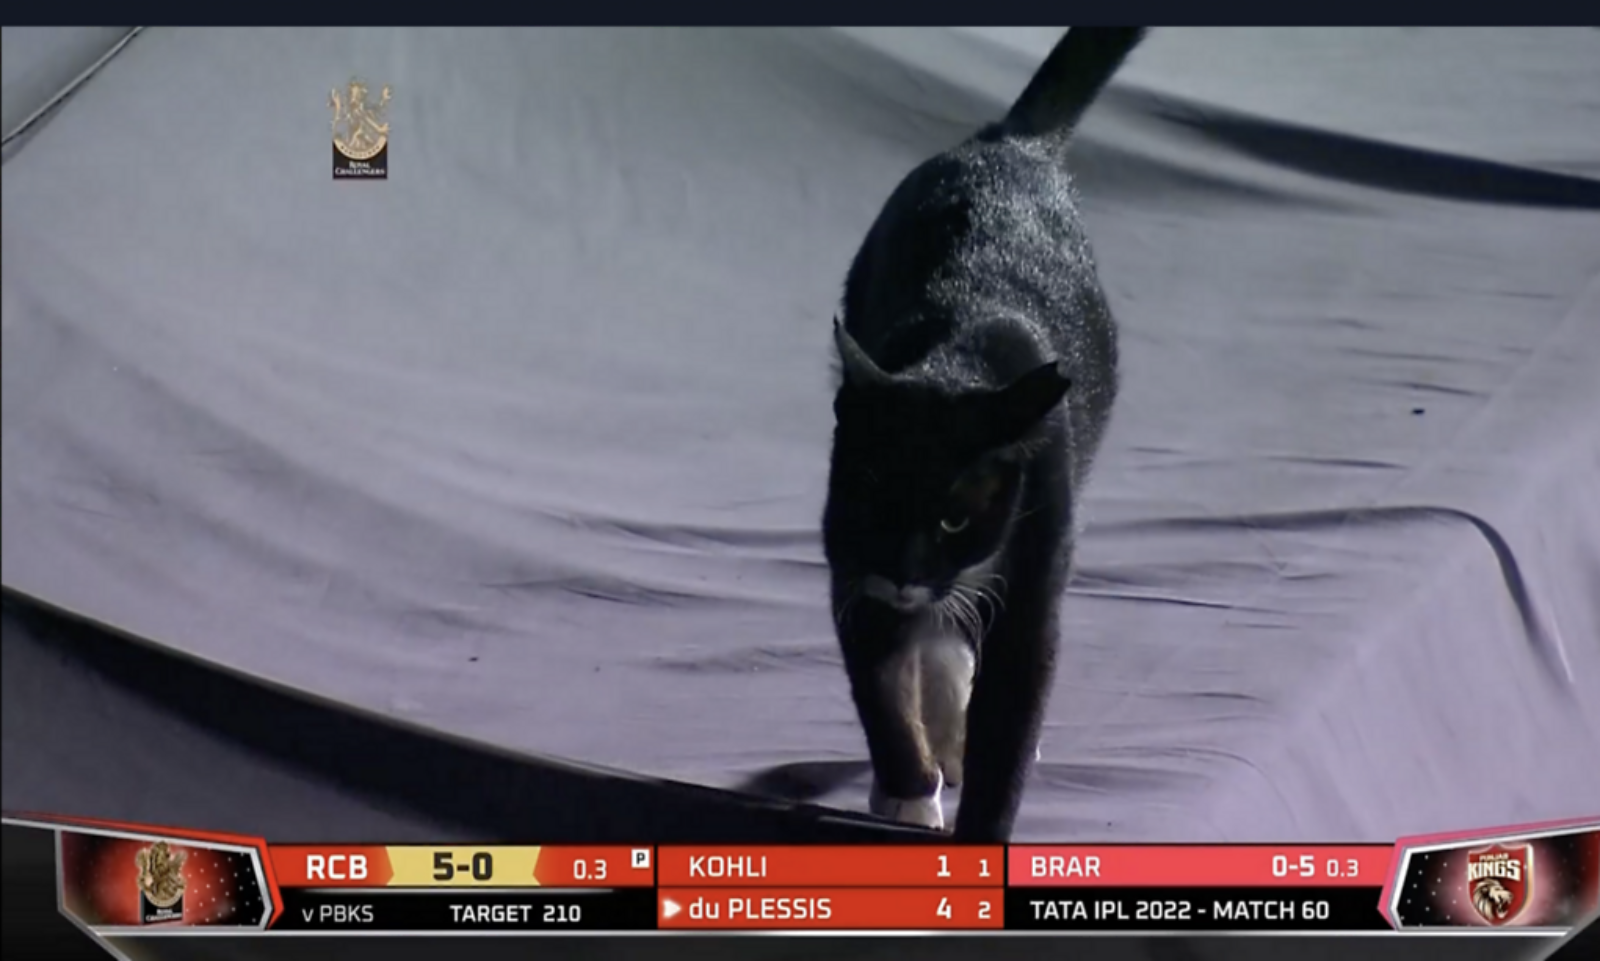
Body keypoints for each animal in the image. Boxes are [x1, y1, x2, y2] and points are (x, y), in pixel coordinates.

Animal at [819, 28, 1145, 837]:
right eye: (875, 501)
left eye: (954, 518)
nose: (906, 572)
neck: (957, 354)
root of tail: (1007, 144)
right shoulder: (850, 556)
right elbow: (877, 678)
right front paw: (908, 787)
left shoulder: (1031, 577)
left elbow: (1011, 716)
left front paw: (982, 818)